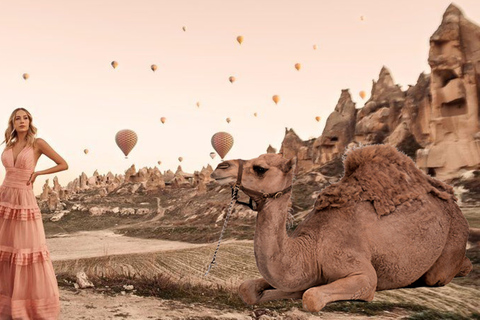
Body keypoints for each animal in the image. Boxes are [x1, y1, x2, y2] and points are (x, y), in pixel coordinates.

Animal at [211, 144, 472, 312]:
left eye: (260, 168)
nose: (220, 167)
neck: (311, 248)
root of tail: (454, 204)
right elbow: (248, 289)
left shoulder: (362, 272)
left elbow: (311, 296)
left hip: (453, 239)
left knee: (440, 274)